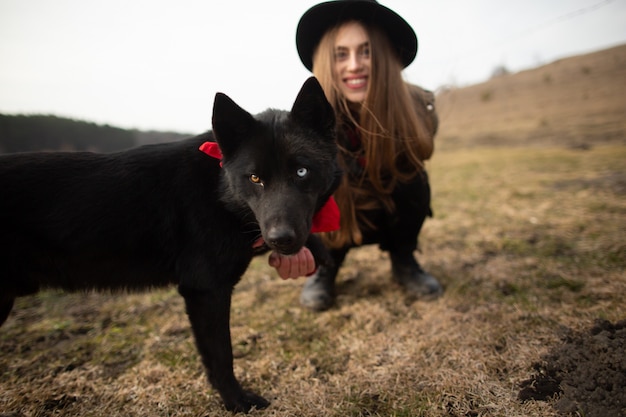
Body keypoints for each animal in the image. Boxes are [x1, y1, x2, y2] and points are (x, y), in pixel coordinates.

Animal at [0, 76, 338, 412]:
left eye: (302, 171)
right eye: (255, 178)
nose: (281, 238)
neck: (217, 189)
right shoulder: (206, 291)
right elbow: (221, 356)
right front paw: (237, 402)